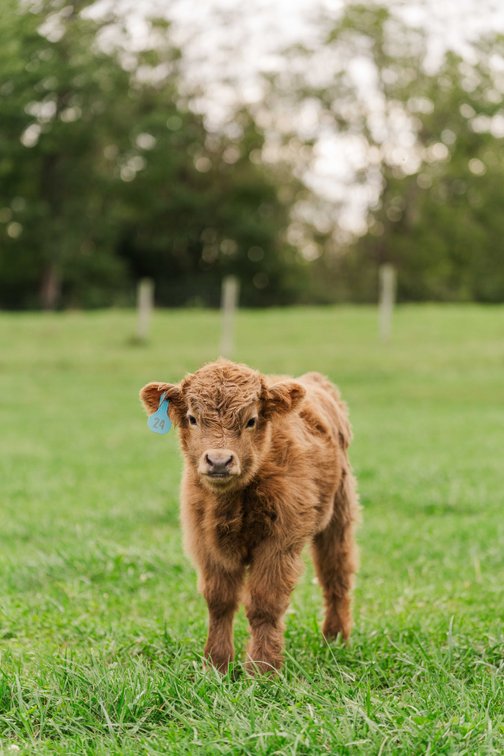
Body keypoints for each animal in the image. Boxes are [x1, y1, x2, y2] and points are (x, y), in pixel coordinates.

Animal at [140, 359, 360, 674]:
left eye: (251, 420)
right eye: (193, 418)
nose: (219, 461)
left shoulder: (278, 544)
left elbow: (264, 605)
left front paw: (262, 668)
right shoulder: (206, 545)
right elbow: (220, 602)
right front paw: (217, 664)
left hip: (339, 514)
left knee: (336, 575)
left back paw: (335, 638)